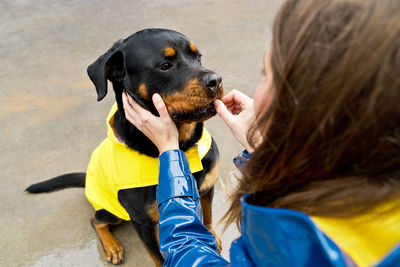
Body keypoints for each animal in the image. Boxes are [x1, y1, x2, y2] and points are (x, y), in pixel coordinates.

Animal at [26, 28, 223, 266]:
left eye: (198, 57)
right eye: (164, 65)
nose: (216, 80)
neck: (183, 146)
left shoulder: (207, 190)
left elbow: (207, 217)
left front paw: (211, 237)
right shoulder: (143, 222)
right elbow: (158, 257)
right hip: (114, 212)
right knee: (96, 220)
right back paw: (112, 246)